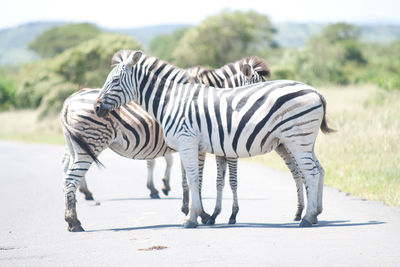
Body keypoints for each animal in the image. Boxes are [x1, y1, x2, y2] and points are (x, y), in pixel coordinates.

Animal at [96, 51, 334, 229]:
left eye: (115, 80)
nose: (97, 108)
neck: (170, 101)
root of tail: (315, 91)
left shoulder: (188, 142)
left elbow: (194, 179)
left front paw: (192, 218)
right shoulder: (200, 146)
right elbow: (201, 180)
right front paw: (205, 215)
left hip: (297, 139)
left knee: (311, 173)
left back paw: (307, 218)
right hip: (303, 141)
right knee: (318, 169)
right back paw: (314, 214)